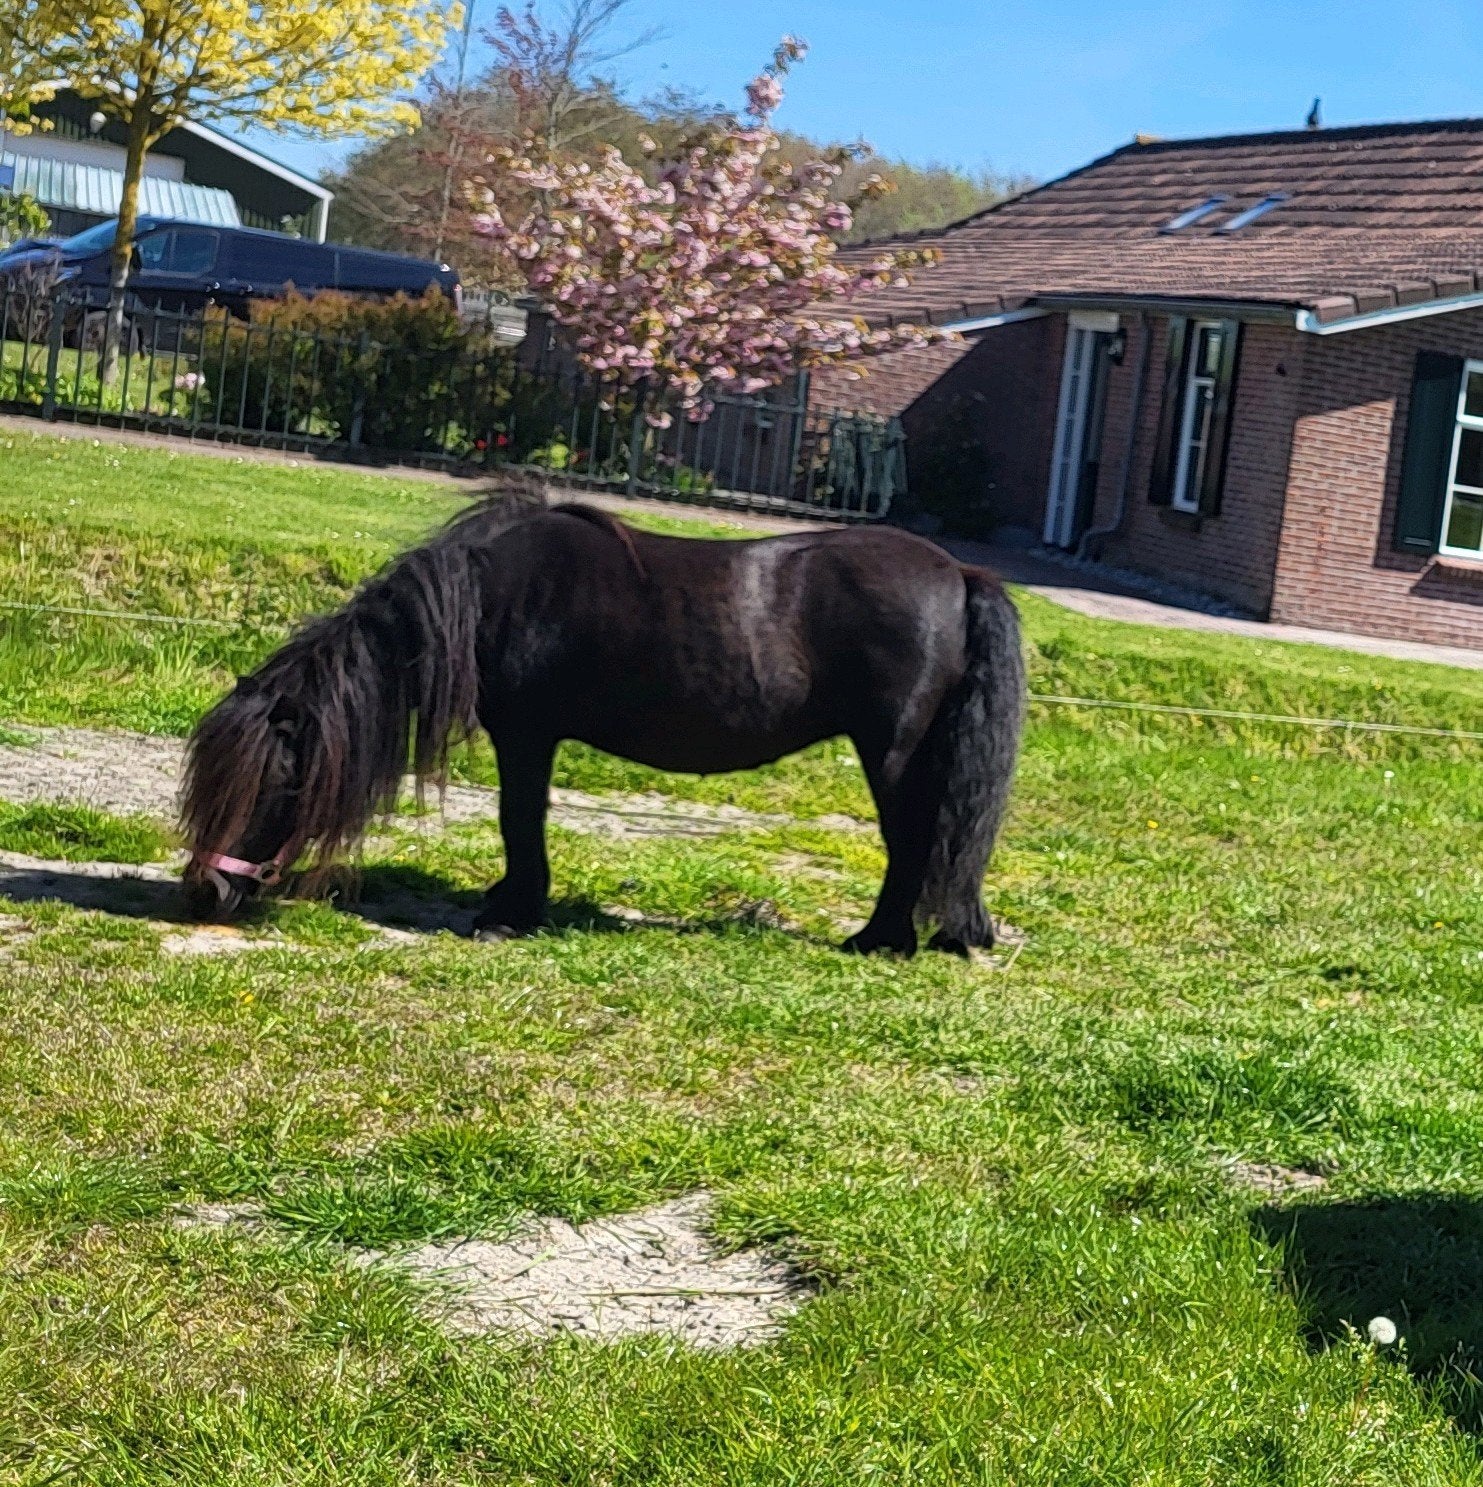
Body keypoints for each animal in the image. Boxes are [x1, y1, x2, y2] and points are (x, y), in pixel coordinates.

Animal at [180, 489, 1026, 955]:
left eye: (274, 783)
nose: (203, 894)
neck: (487, 597)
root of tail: (957, 573)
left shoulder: (526, 733)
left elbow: (519, 818)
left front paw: (511, 911)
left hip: (892, 752)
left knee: (910, 840)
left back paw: (879, 941)